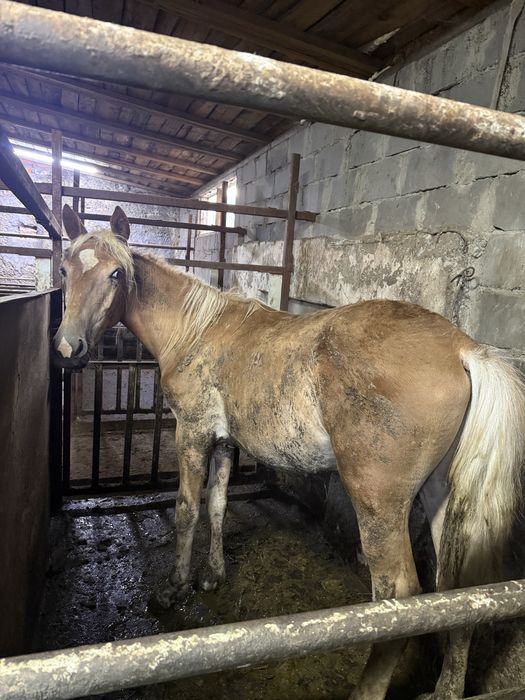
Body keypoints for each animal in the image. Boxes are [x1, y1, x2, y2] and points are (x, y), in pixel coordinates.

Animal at [53, 203, 525, 700]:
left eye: (116, 274)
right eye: (64, 270)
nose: (68, 348)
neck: (195, 331)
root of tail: (463, 349)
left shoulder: (193, 435)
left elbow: (186, 510)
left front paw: (173, 588)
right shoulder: (225, 443)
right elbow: (216, 506)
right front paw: (212, 575)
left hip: (378, 503)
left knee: (396, 592)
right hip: (439, 497)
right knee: (461, 585)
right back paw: (446, 688)